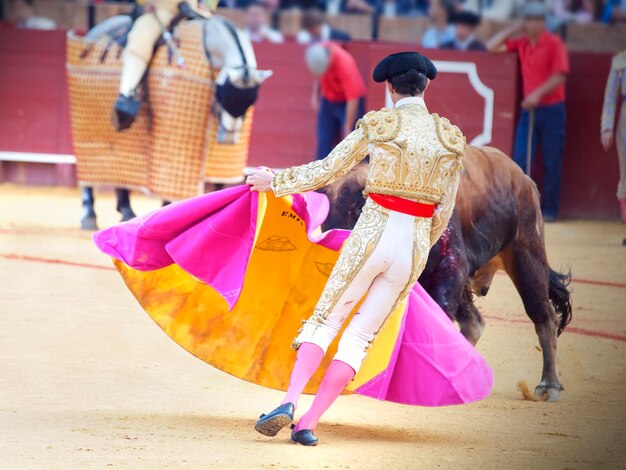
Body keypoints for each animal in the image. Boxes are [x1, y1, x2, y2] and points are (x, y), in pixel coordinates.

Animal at [72, 12, 270, 229]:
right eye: (224, 94)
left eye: (251, 102)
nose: (227, 139)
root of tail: (95, 30)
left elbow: (218, 178)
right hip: (88, 120)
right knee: (90, 163)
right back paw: (89, 214)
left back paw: (126, 210)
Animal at [320, 146, 572, 400]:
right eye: (326, 216)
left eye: (360, 208)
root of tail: (523, 177)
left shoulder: (452, 267)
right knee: (475, 323)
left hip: (526, 254)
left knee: (543, 316)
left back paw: (549, 385)